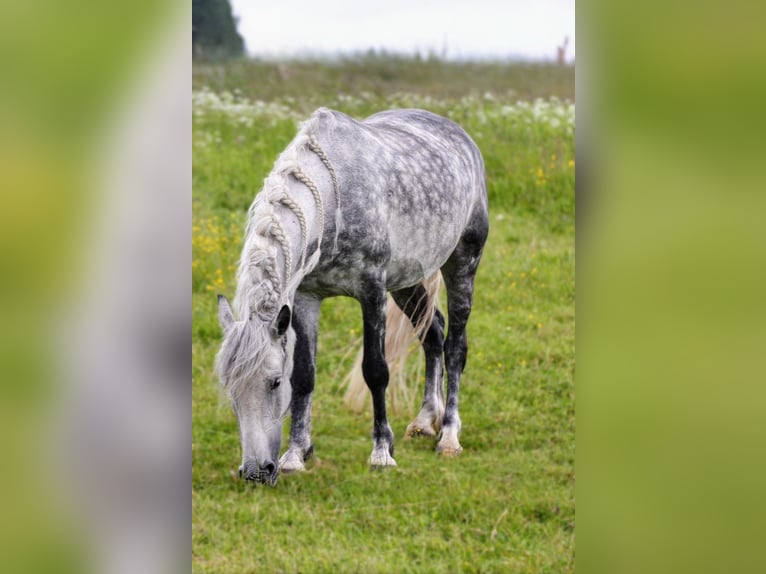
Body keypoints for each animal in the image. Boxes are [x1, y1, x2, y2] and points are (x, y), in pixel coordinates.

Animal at [216, 107, 488, 486]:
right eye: (231, 389)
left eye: (273, 383)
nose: (256, 472)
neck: (334, 200)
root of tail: (459, 135)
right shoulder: (306, 298)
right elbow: (305, 375)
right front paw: (296, 454)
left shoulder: (371, 290)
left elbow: (376, 370)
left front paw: (382, 452)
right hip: (405, 282)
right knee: (433, 332)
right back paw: (423, 422)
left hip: (463, 263)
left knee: (455, 347)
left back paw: (448, 436)